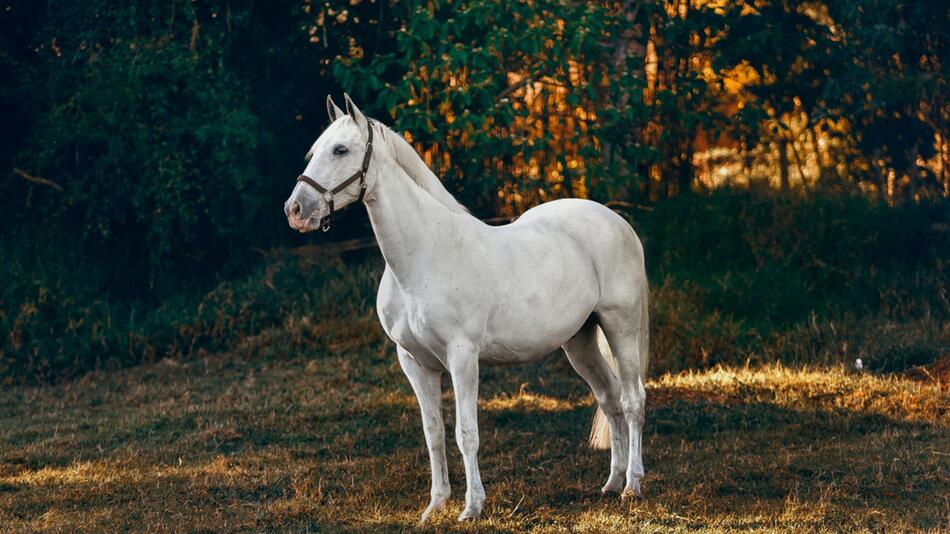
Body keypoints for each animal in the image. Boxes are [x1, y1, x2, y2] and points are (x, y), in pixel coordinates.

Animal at [286, 95, 652, 524]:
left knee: (632, 400)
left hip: (620, 325)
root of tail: (617, 221)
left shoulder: (462, 357)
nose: (295, 210)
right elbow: (433, 434)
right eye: (314, 151)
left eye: (340, 150)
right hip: (579, 341)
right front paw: (435, 505)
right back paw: (611, 482)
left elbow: (466, 433)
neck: (424, 255)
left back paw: (632, 486)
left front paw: (472, 506)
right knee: (609, 398)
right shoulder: (414, 362)